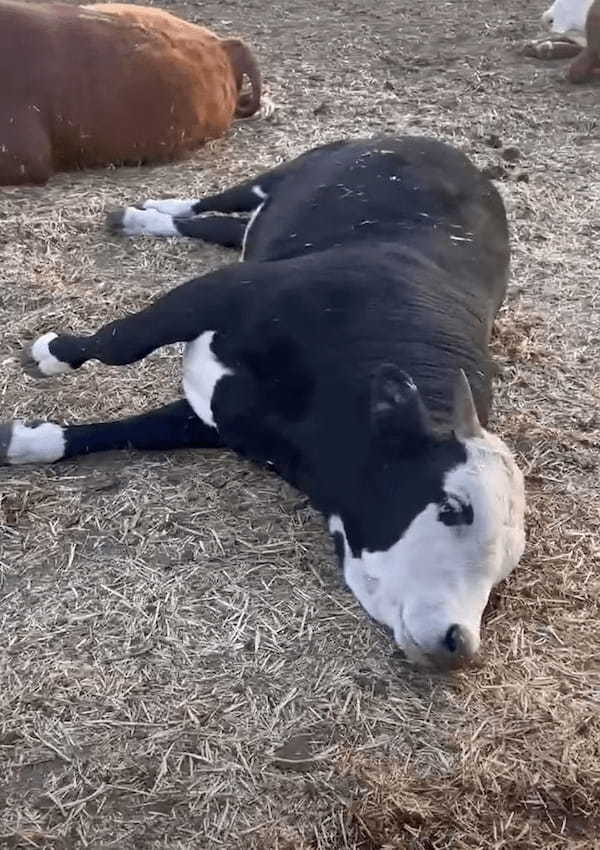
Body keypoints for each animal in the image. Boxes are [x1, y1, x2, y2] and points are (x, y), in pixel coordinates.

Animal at [1, 134, 524, 668]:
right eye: (453, 507)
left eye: (507, 564)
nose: (459, 643)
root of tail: (451, 154)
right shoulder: (222, 293)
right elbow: (119, 341)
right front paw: (52, 355)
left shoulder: (216, 418)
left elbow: (136, 432)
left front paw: (25, 440)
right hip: (284, 172)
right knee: (210, 204)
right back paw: (141, 213)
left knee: (222, 227)